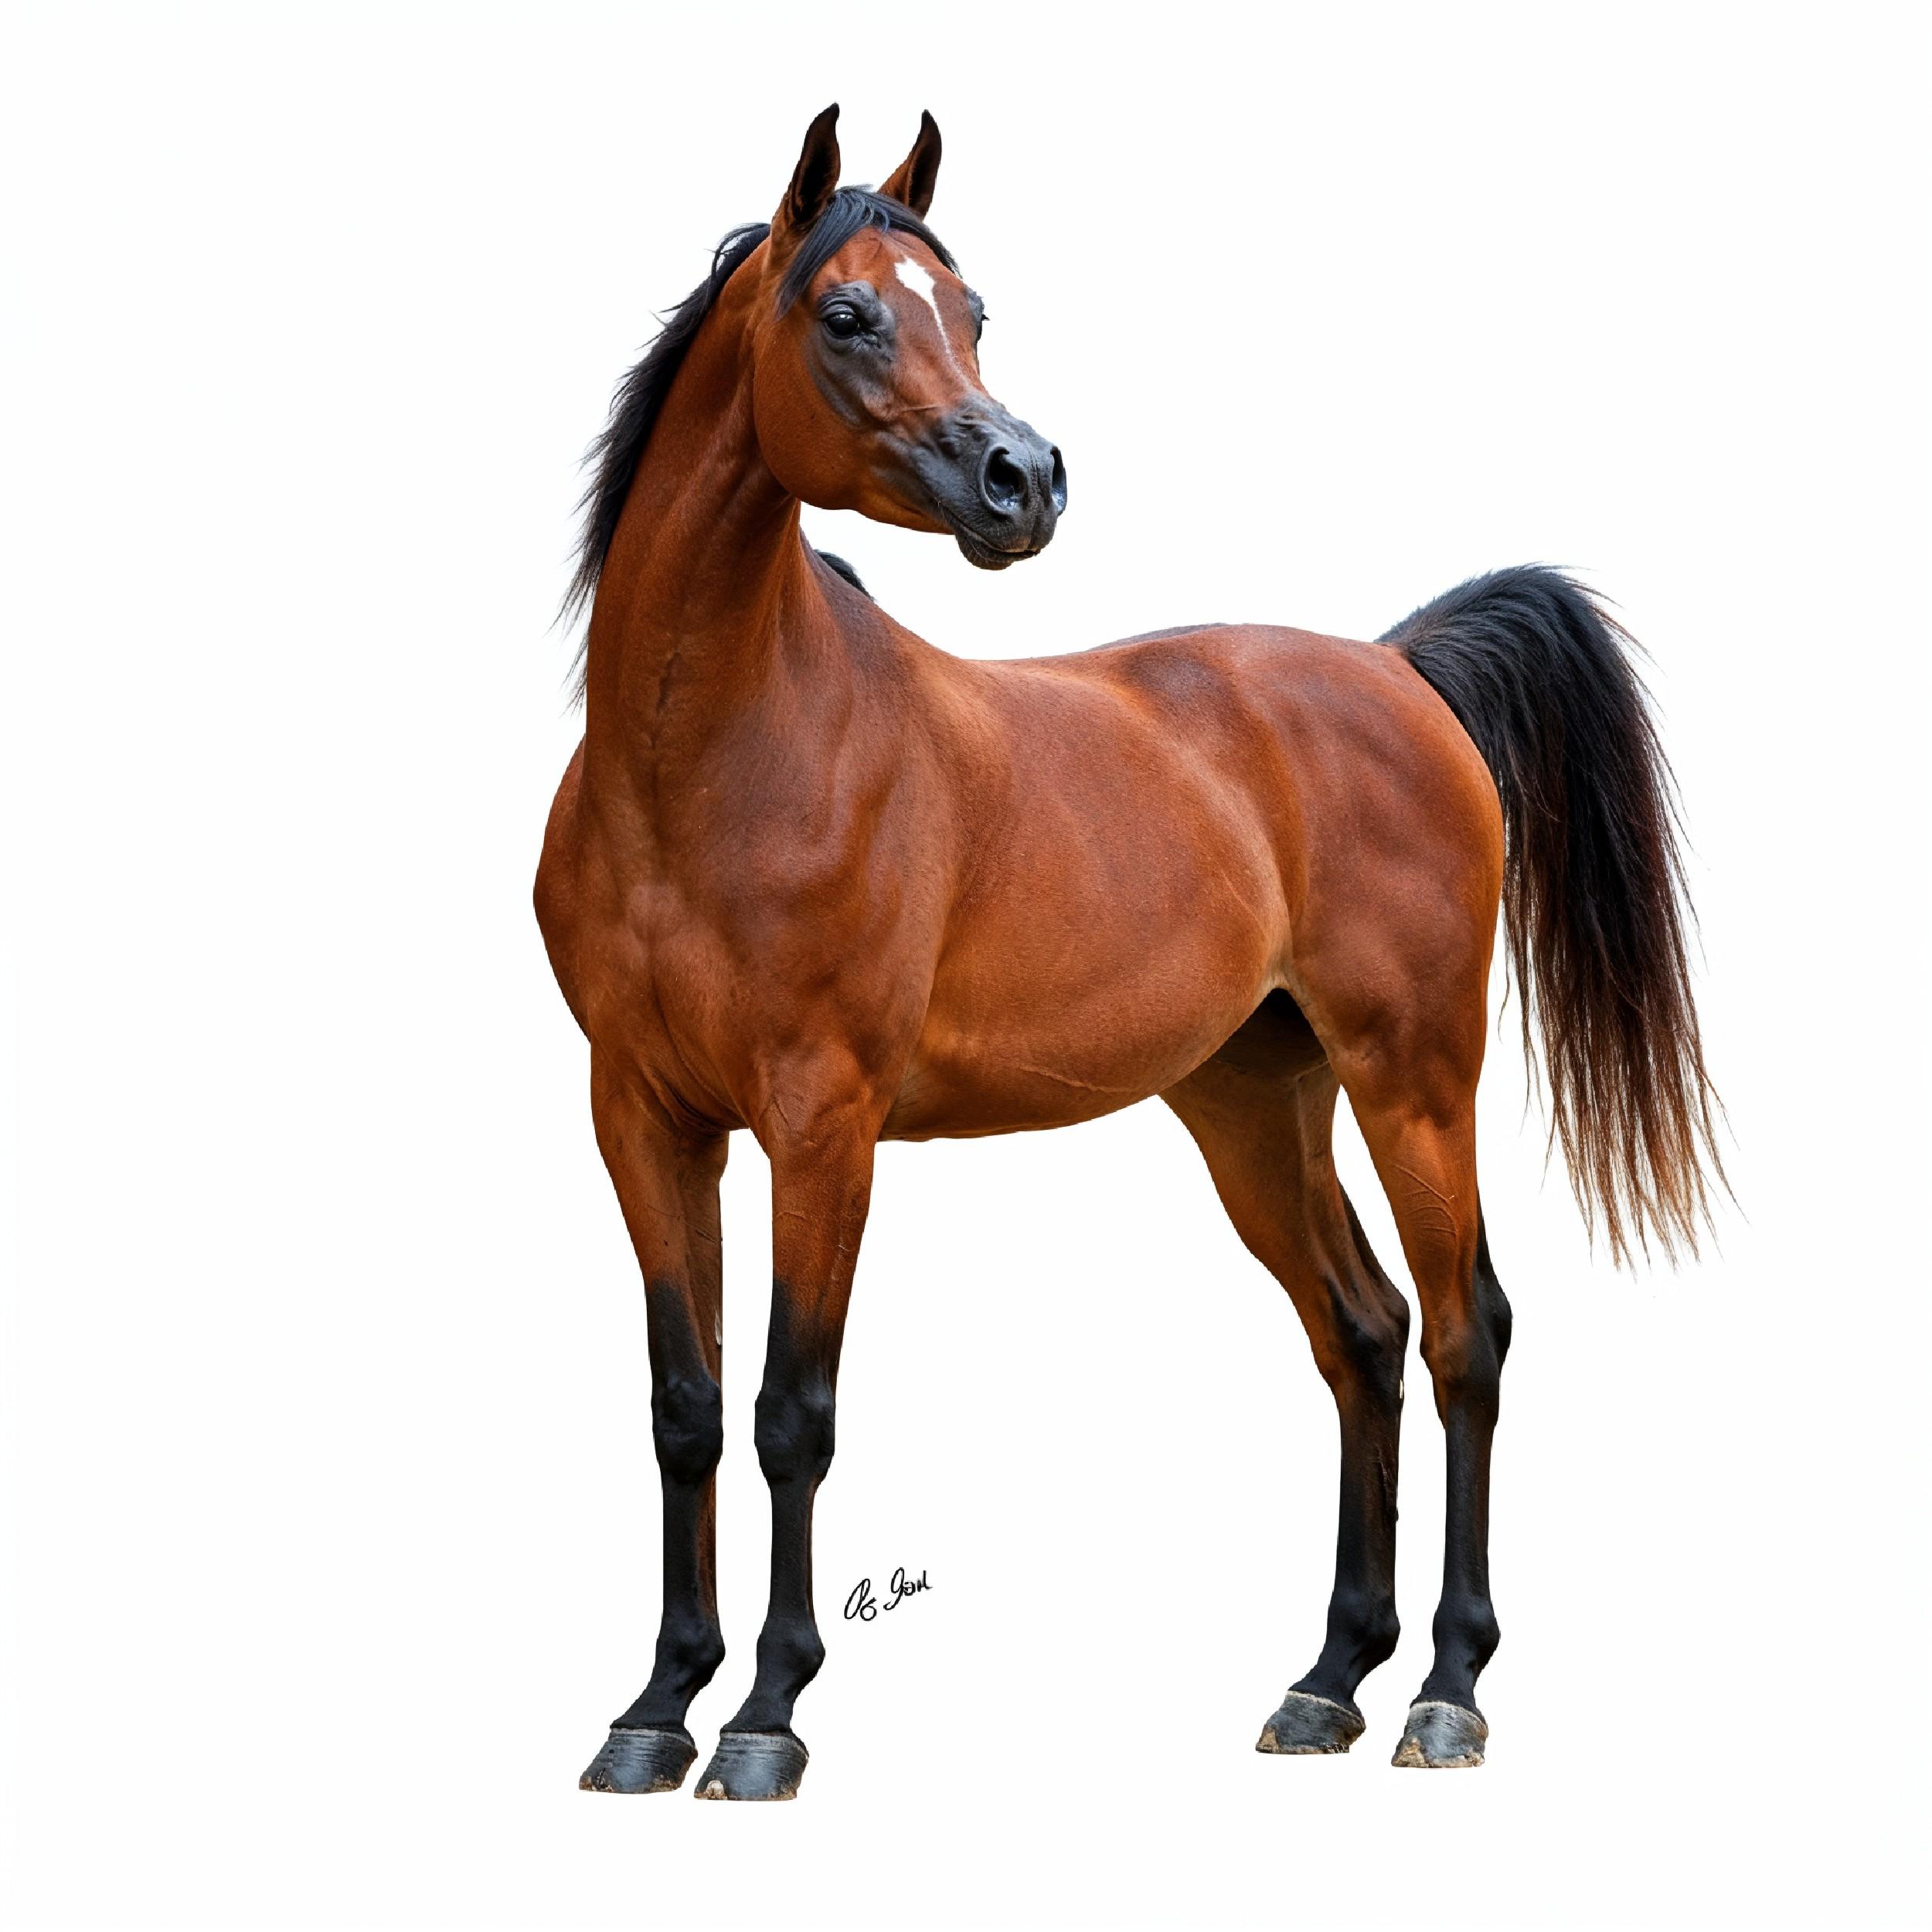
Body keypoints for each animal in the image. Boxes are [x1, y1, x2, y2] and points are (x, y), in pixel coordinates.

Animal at [535, 105, 1722, 1800]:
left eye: (970, 311)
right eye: (848, 313)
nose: (1022, 476)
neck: (711, 765)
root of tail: (1395, 669)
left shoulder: (824, 1128)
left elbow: (789, 1413)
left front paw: (764, 1718)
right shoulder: (643, 1119)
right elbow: (685, 1409)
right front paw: (651, 1709)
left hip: (1413, 1081)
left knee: (1463, 1336)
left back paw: (1444, 1690)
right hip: (1252, 1102)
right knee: (1362, 1335)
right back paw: (1326, 1680)